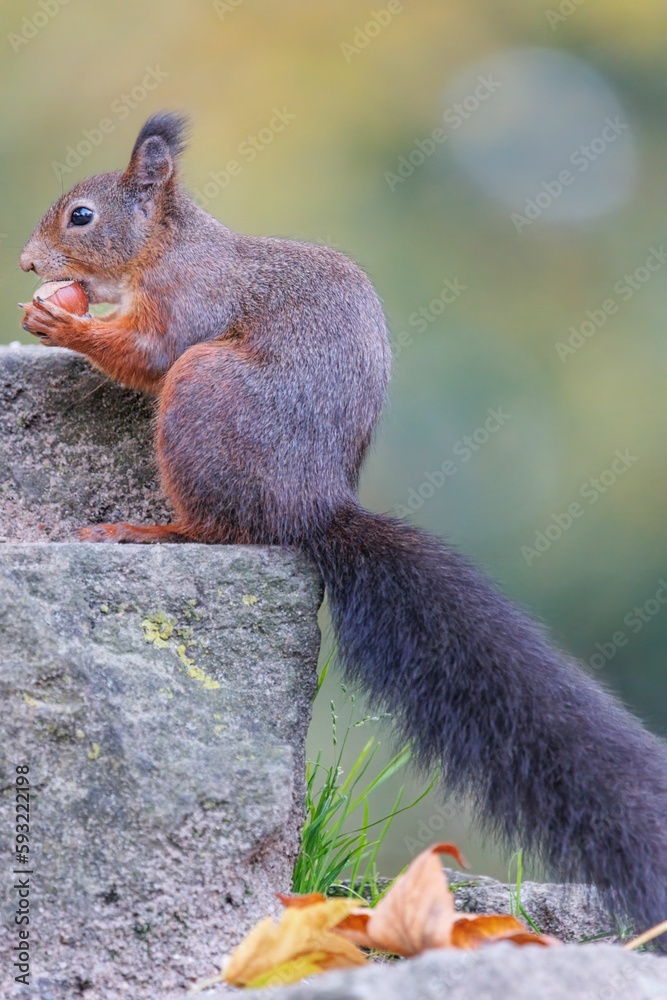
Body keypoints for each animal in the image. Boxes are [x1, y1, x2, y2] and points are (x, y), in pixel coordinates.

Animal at [18, 113, 667, 940]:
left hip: (204, 393)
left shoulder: (189, 298)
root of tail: (313, 504)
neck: (166, 245)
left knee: (225, 525)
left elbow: (149, 351)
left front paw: (60, 321)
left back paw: (153, 532)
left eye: (82, 216)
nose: (27, 262)